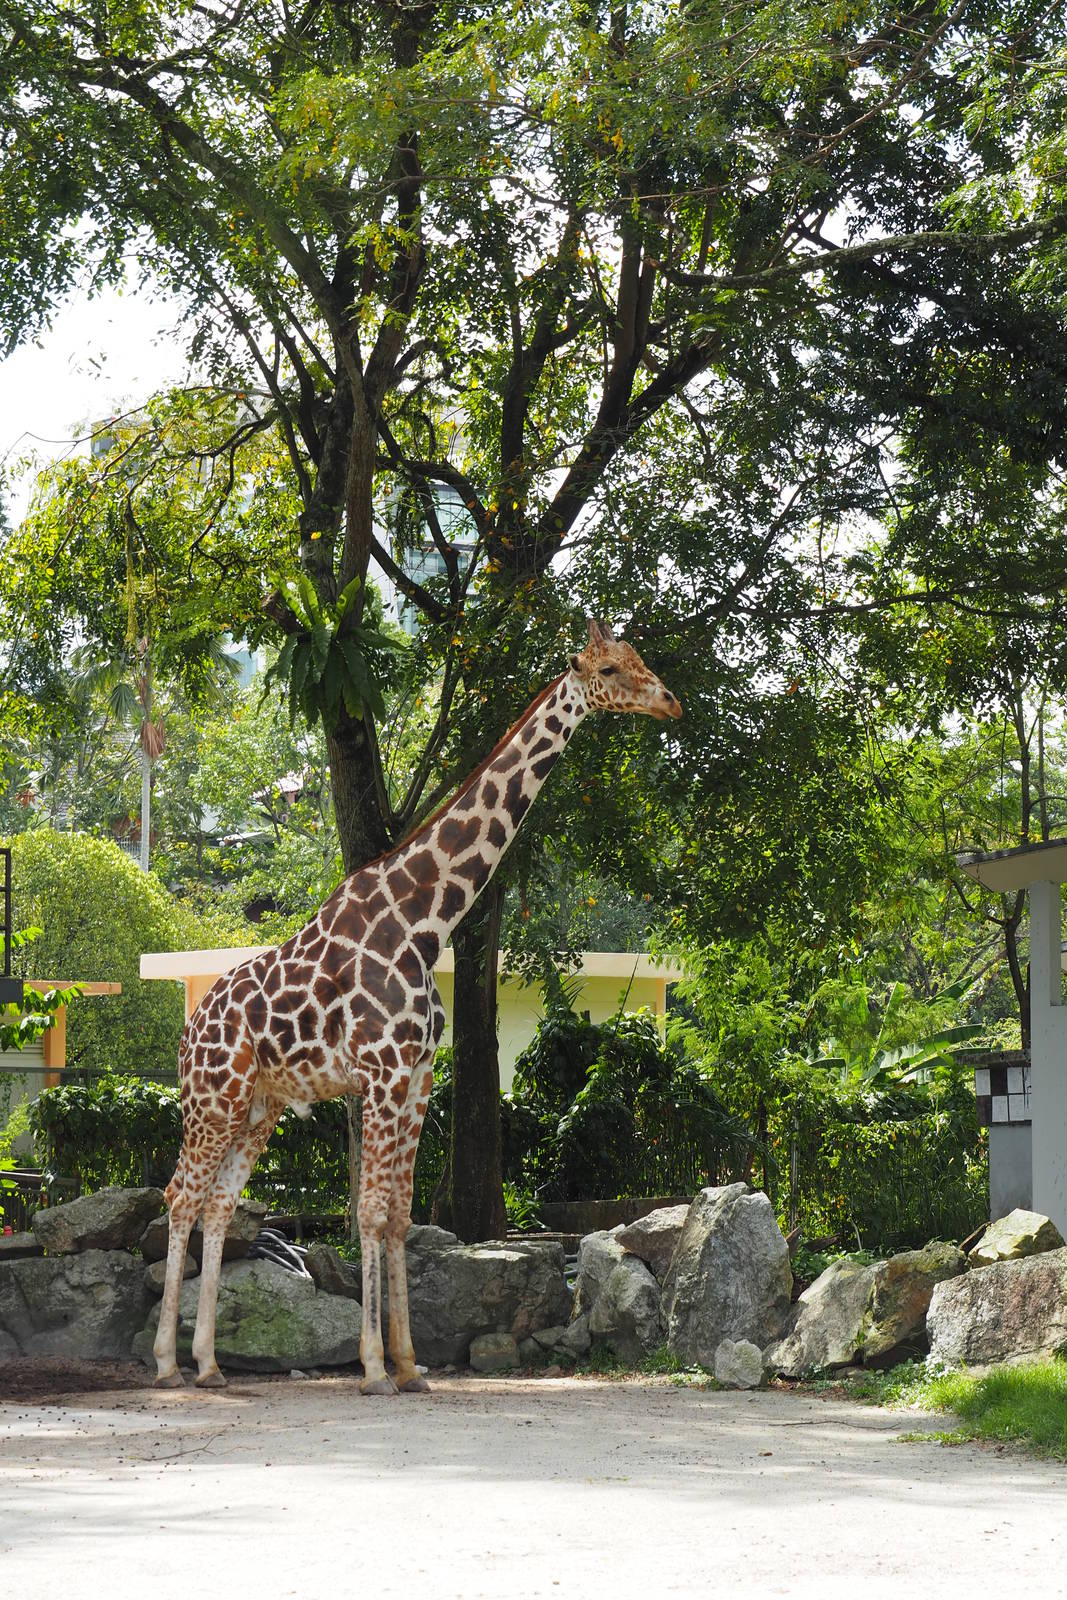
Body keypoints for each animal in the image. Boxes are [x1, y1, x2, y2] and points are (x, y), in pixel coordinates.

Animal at [152, 619, 681, 1393]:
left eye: (640, 658)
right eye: (610, 668)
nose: (670, 702)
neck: (424, 922)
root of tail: (189, 1029)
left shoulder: (417, 1077)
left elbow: (399, 1215)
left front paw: (408, 1364)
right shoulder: (379, 1073)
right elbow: (370, 1213)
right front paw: (374, 1366)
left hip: (258, 1108)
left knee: (219, 1204)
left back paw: (210, 1363)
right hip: (212, 1100)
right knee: (180, 1196)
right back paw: (166, 1362)